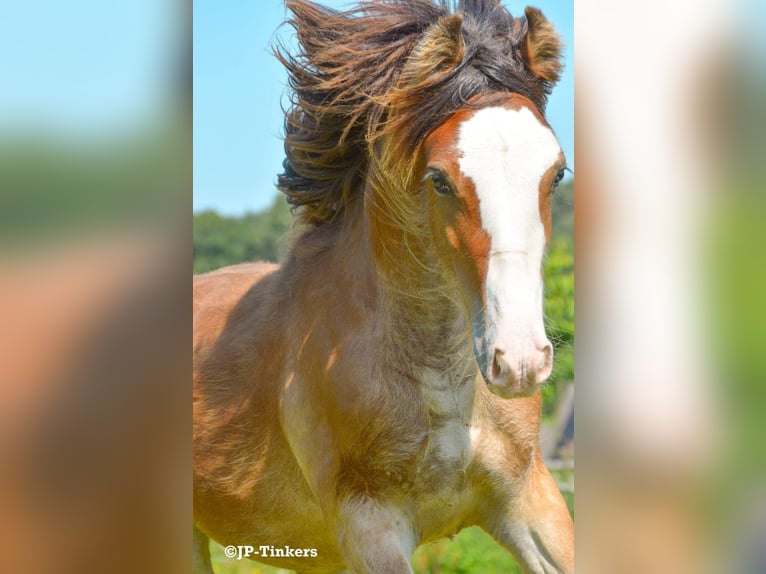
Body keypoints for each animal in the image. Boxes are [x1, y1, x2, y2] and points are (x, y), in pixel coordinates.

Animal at [195, 2, 572, 572]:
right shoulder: (370, 526)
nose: (520, 360)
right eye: (439, 180)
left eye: (556, 173)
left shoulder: (529, 499)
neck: (446, 385)